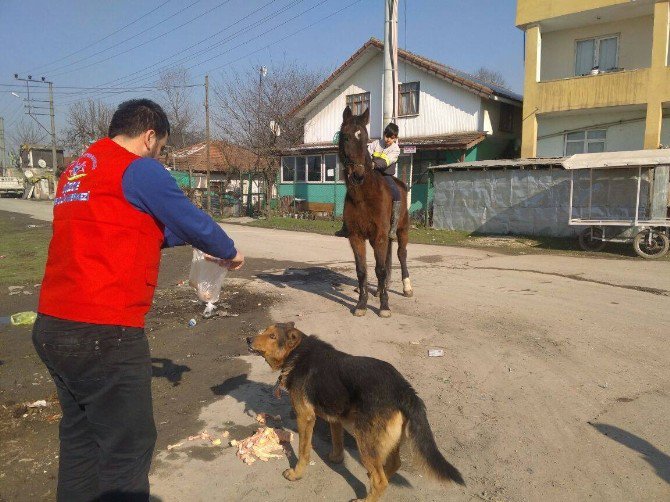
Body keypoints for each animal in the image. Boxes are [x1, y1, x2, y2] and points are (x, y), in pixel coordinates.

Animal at [248, 324, 468, 500]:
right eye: (265, 331)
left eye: (272, 336)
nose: (248, 339)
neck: (298, 353)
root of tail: (405, 390)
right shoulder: (335, 417)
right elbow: (337, 440)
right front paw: (336, 458)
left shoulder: (305, 418)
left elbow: (303, 451)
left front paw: (296, 474)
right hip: (384, 440)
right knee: (393, 465)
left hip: (365, 440)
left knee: (381, 481)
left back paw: (367, 498)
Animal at [338, 106, 412, 318]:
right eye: (346, 136)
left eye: (365, 138)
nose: (358, 175)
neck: (364, 196)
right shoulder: (356, 237)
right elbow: (362, 270)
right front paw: (361, 303)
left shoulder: (379, 236)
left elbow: (380, 269)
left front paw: (384, 306)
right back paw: (379, 290)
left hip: (402, 230)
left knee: (401, 255)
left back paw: (406, 287)